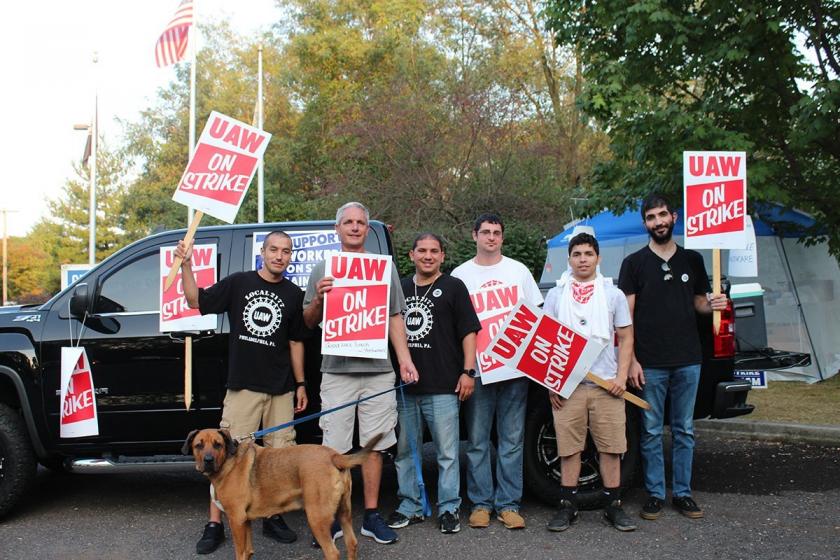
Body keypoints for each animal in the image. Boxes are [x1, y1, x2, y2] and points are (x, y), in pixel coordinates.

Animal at [184, 430, 384, 556]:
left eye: (217, 445)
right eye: (199, 445)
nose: (208, 460)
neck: (228, 461)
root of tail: (335, 456)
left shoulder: (236, 520)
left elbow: (240, 553)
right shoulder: (245, 521)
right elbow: (248, 551)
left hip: (317, 518)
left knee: (333, 552)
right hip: (344, 513)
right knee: (352, 544)